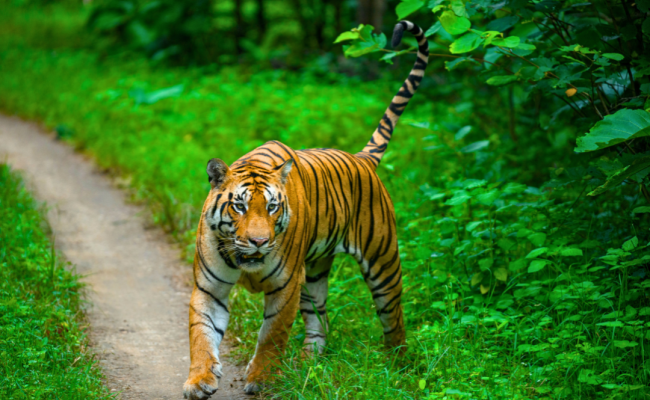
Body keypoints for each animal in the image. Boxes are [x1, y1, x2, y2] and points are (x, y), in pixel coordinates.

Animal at [182, 20, 428, 398]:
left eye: (271, 207)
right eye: (239, 206)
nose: (258, 242)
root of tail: (361, 159)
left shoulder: (286, 285)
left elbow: (271, 335)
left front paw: (262, 378)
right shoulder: (210, 287)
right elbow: (201, 334)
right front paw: (199, 380)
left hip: (382, 263)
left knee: (393, 317)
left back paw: (397, 366)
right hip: (314, 273)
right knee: (320, 318)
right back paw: (307, 362)